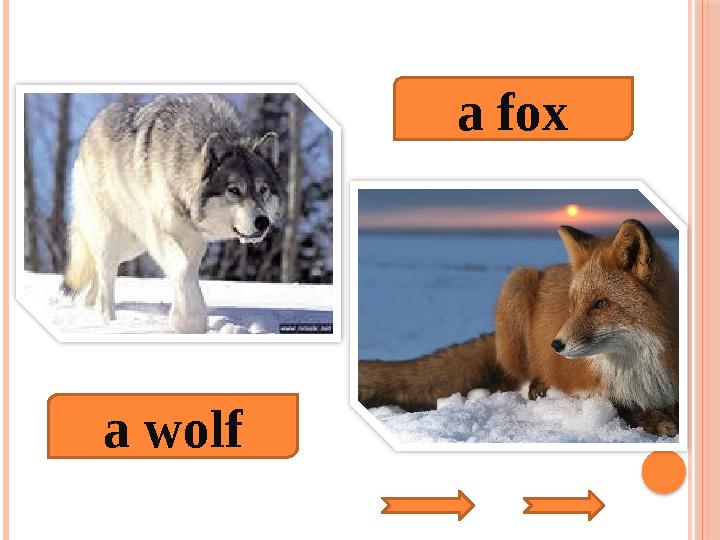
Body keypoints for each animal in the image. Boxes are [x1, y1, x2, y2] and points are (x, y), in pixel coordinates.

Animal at [63, 94, 286, 333]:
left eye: (263, 190)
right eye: (234, 190)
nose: (263, 222)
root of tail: (90, 129)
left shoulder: (195, 241)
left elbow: (189, 272)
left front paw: (184, 321)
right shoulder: (158, 232)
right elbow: (182, 269)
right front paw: (188, 321)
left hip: (131, 247)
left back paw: (89, 306)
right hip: (113, 239)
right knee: (106, 281)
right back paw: (108, 321)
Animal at [358, 219, 680, 437]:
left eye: (601, 303)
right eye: (573, 304)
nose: (556, 345)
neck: (642, 366)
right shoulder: (584, 385)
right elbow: (622, 406)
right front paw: (653, 420)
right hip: (516, 286)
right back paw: (538, 385)